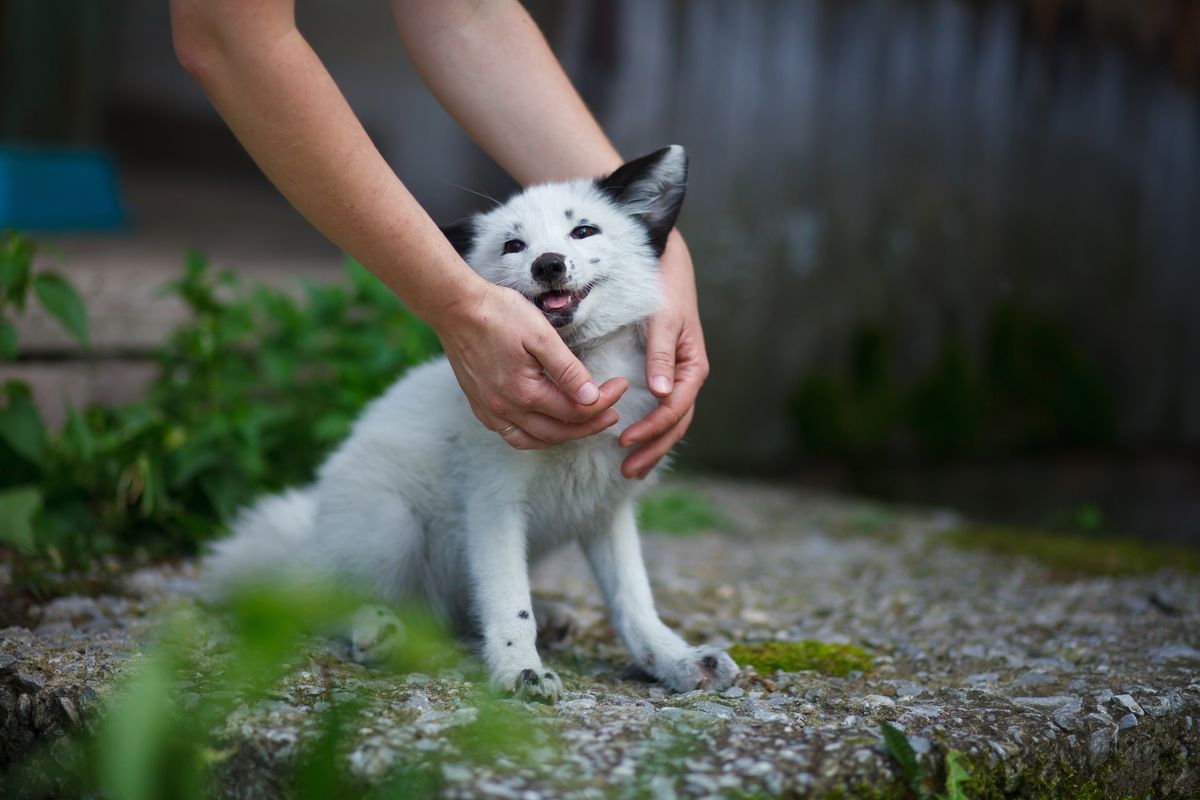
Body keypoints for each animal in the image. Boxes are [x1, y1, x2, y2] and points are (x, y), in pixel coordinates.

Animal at [204, 146, 738, 702]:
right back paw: (376, 627)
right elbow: (508, 603)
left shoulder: (607, 509)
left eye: (583, 231)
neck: (581, 372)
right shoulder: (494, 503)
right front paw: (520, 671)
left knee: (461, 606)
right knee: (320, 604)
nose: (548, 264)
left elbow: (633, 601)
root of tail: (309, 541)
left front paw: (674, 659)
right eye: (513, 245)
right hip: (390, 525)